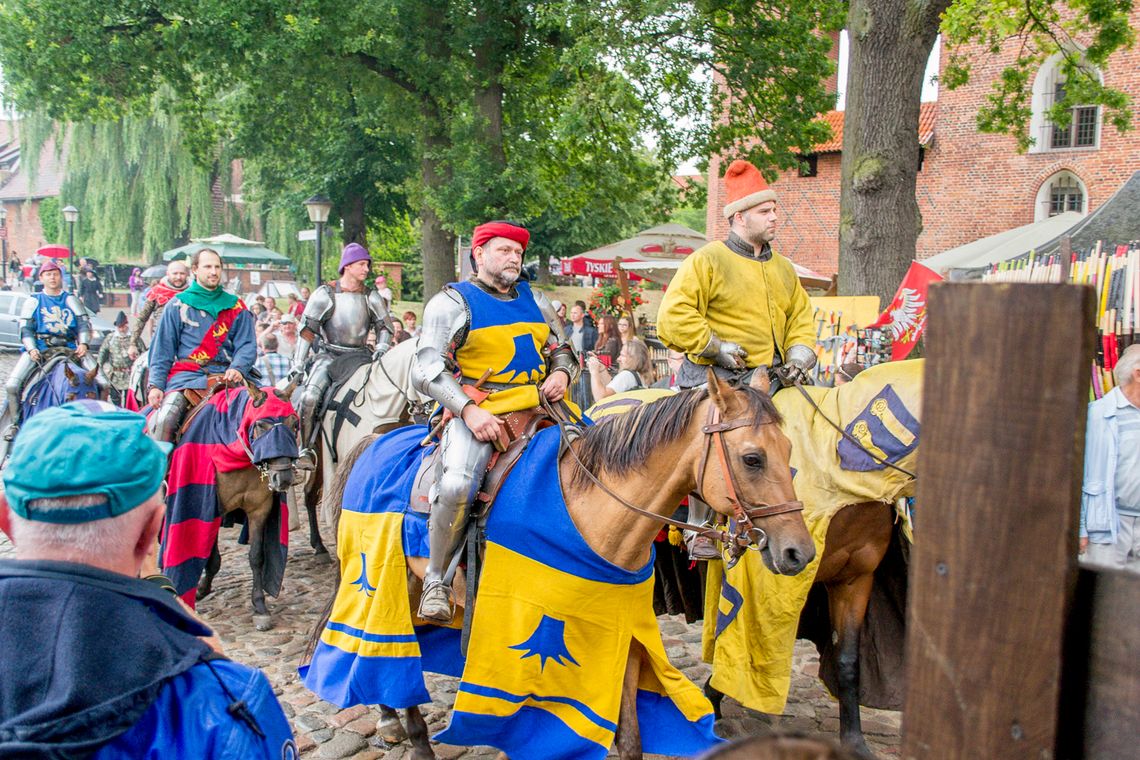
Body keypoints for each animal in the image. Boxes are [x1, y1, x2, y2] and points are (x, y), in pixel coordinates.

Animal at [160, 387, 305, 628]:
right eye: (260, 425)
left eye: (294, 424)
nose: (283, 478)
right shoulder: (210, 504)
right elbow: (208, 547)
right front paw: (200, 589)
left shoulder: (259, 509)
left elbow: (256, 556)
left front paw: (259, 606)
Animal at [307, 373, 816, 760]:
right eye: (752, 458)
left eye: (791, 452)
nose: (799, 553)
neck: (590, 508)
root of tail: (375, 440)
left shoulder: (620, 635)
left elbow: (630, 737)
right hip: (393, 579)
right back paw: (412, 736)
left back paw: (388, 719)